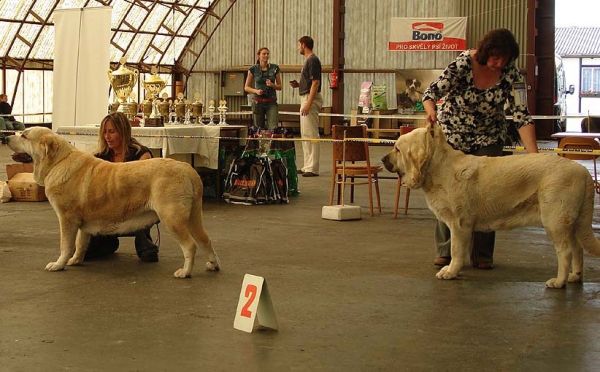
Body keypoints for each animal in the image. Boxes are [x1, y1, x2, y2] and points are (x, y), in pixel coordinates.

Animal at [5, 126, 221, 278]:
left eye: (24, 136)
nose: (5, 138)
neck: (57, 162)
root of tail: (188, 170)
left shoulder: (66, 219)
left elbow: (65, 245)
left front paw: (58, 264)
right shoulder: (81, 223)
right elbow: (80, 244)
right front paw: (75, 260)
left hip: (172, 218)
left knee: (190, 245)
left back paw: (184, 272)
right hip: (193, 217)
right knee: (205, 240)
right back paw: (213, 265)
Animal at [382, 123, 596, 290]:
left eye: (397, 149)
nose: (383, 159)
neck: (437, 167)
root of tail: (583, 171)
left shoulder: (459, 224)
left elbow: (456, 249)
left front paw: (450, 272)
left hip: (556, 221)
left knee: (566, 251)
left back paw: (559, 281)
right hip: (574, 222)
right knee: (578, 248)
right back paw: (575, 276)